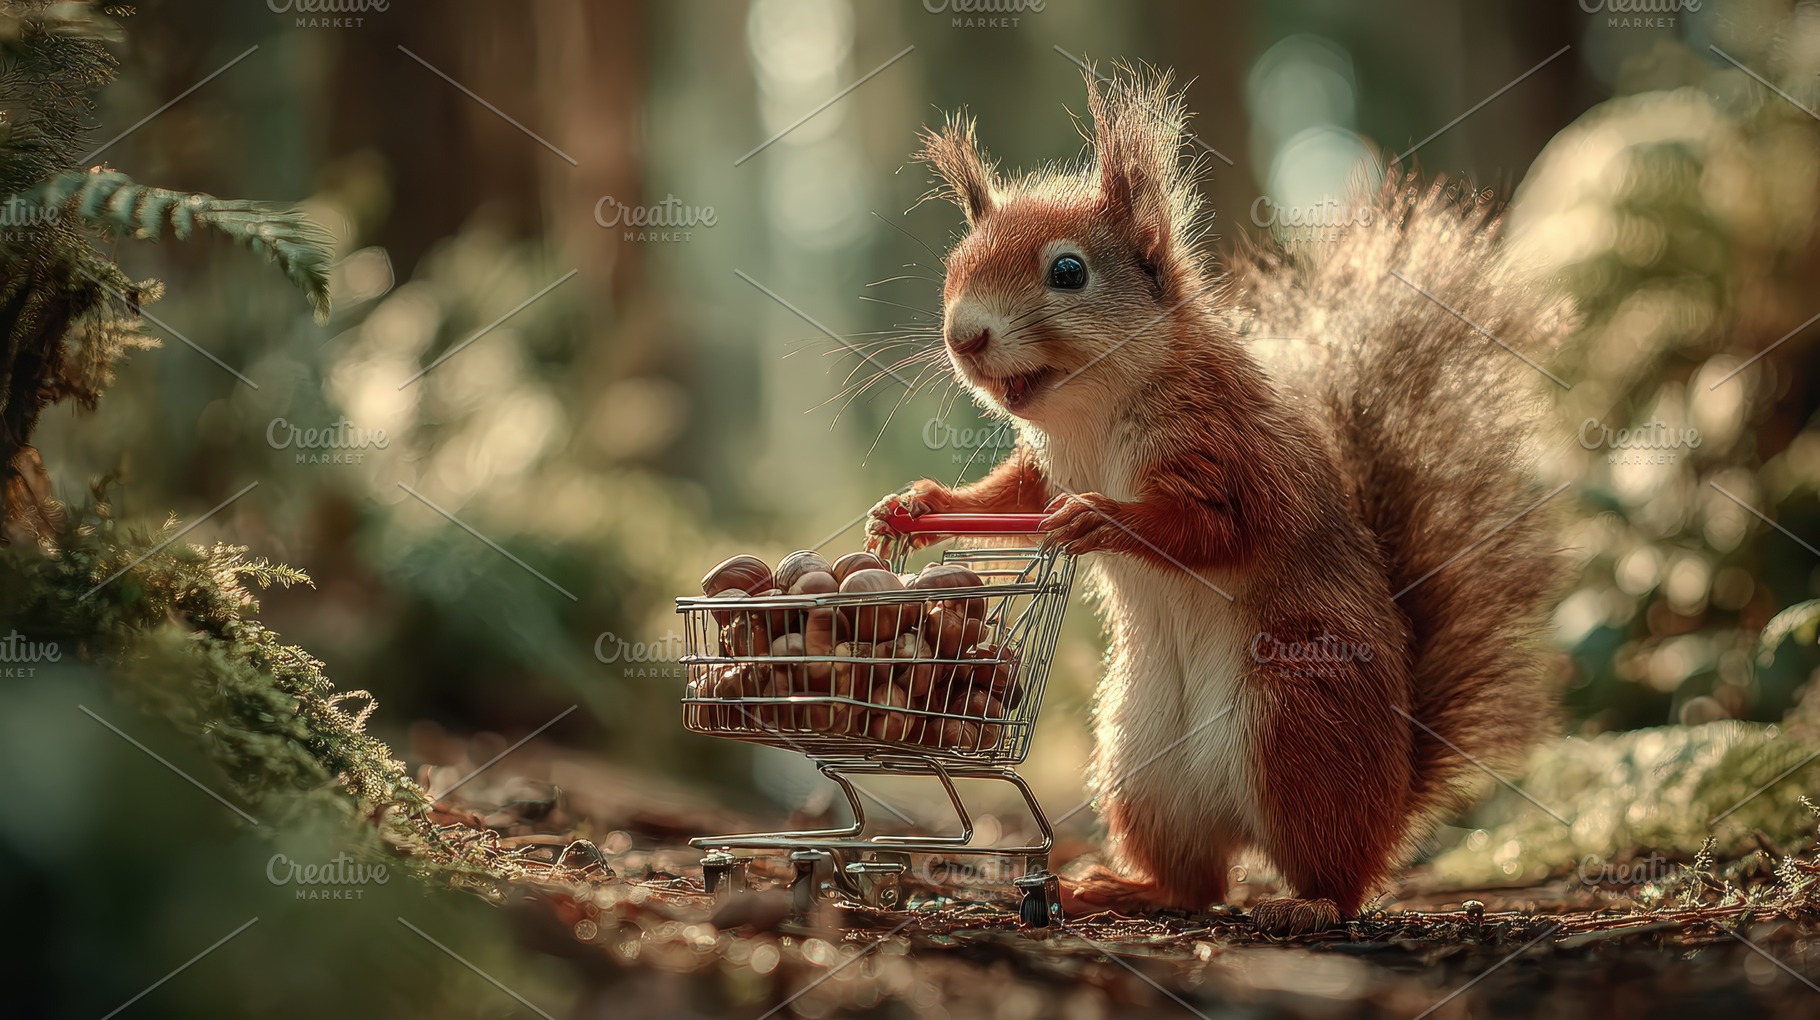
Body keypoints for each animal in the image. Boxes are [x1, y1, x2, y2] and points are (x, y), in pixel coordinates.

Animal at [866, 67, 1568, 935]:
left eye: (1068, 272)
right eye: (956, 262)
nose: (964, 337)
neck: (1091, 414)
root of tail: (1395, 791)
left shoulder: (1230, 449)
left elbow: (1217, 529)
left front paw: (1101, 518)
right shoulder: (1045, 469)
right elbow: (1004, 501)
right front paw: (914, 504)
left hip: (1298, 720)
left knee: (1335, 872)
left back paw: (1306, 903)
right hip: (1140, 768)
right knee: (1196, 883)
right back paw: (1118, 888)